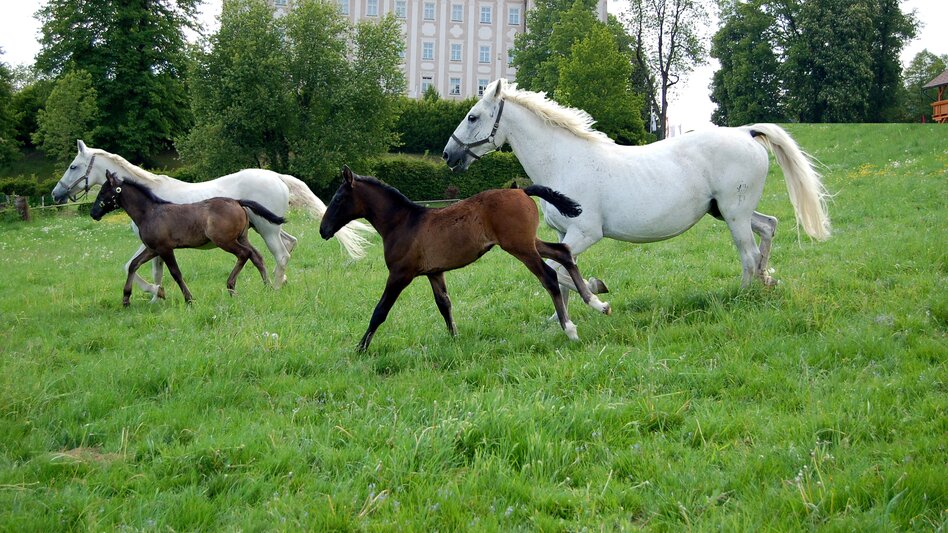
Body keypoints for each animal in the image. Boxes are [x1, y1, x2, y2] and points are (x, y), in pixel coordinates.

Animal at [91, 170, 279, 306]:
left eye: (103, 191)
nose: (93, 213)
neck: (149, 213)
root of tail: (237, 201)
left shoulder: (165, 248)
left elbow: (176, 273)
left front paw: (189, 299)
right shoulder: (152, 249)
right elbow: (133, 265)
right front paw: (126, 298)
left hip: (225, 241)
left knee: (244, 254)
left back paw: (231, 286)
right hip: (241, 237)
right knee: (256, 256)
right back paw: (268, 287)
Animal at [319, 166, 612, 352]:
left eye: (338, 198)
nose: (323, 230)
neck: (404, 223)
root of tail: (521, 191)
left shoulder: (400, 274)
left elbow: (380, 311)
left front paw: (360, 348)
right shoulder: (434, 272)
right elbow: (444, 305)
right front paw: (455, 339)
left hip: (520, 247)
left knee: (549, 277)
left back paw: (570, 329)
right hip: (529, 242)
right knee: (563, 252)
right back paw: (597, 303)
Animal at [443, 79, 831, 309]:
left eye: (473, 116)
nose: (449, 155)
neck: (564, 161)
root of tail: (745, 132)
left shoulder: (585, 233)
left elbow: (559, 270)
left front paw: (597, 292)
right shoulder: (563, 233)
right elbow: (563, 272)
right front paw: (560, 318)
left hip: (734, 214)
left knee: (748, 254)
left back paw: (744, 295)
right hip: (727, 210)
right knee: (769, 226)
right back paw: (768, 280)